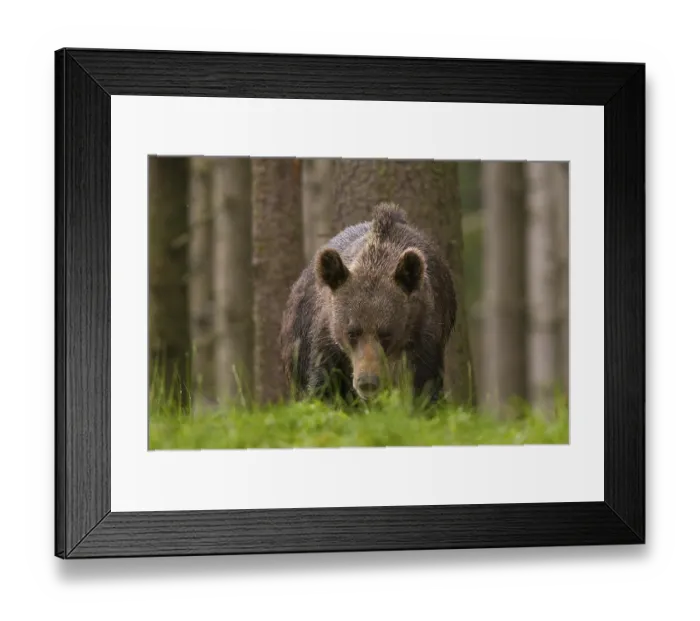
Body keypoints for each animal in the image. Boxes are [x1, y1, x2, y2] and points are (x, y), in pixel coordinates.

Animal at [279, 202, 457, 405]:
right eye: (352, 332)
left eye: (386, 333)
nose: (367, 382)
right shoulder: (326, 342)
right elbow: (324, 387)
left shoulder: (423, 335)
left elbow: (424, 386)